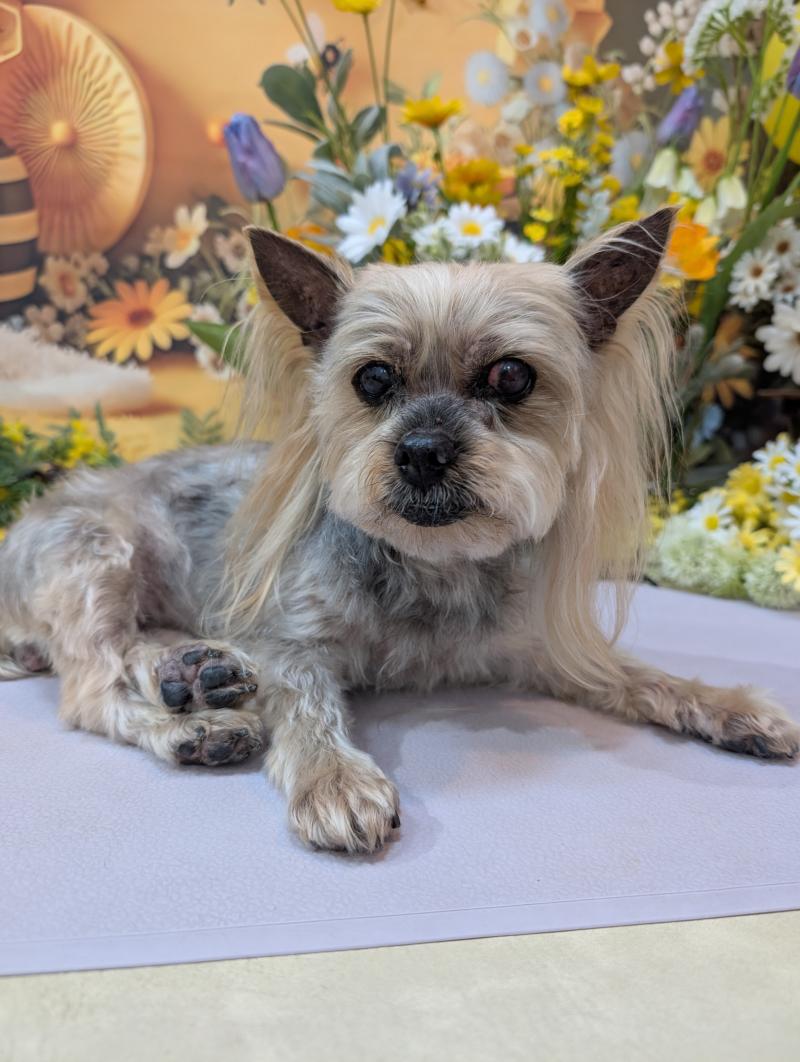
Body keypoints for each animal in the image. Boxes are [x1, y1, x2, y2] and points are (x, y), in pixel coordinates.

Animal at [2, 208, 797, 853]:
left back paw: (193, 669)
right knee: (92, 685)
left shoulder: (535, 651)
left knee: (131, 651)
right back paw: (190, 722)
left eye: (512, 376)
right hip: (93, 555)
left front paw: (732, 709)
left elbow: (633, 675)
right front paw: (333, 779)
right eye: (374, 379)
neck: (432, 569)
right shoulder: (287, 636)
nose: (421, 452)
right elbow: (304, 697)